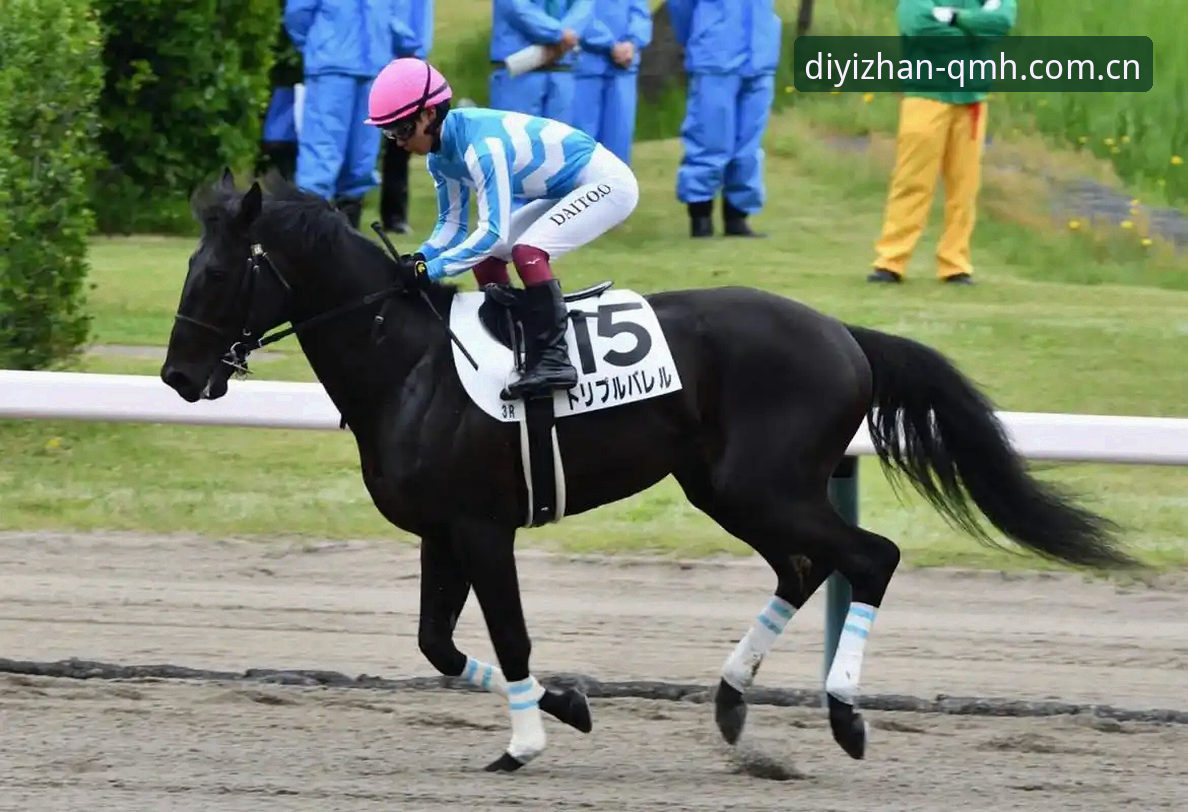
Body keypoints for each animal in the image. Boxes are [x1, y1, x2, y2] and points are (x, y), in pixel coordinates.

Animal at [161, 170, 1133, 772]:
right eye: (191, 266)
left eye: (215, 274)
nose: (177, 377)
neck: (409, 364)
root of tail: (845, 334)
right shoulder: (442, 530)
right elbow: (438, 646)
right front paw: (567, 706)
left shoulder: (483, 527)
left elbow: (509, 635)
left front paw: (525, 744)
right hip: (729, 489)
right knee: (804, 567)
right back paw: (732, 700)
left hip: (762, 485)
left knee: (870, 558)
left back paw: (844, 714)